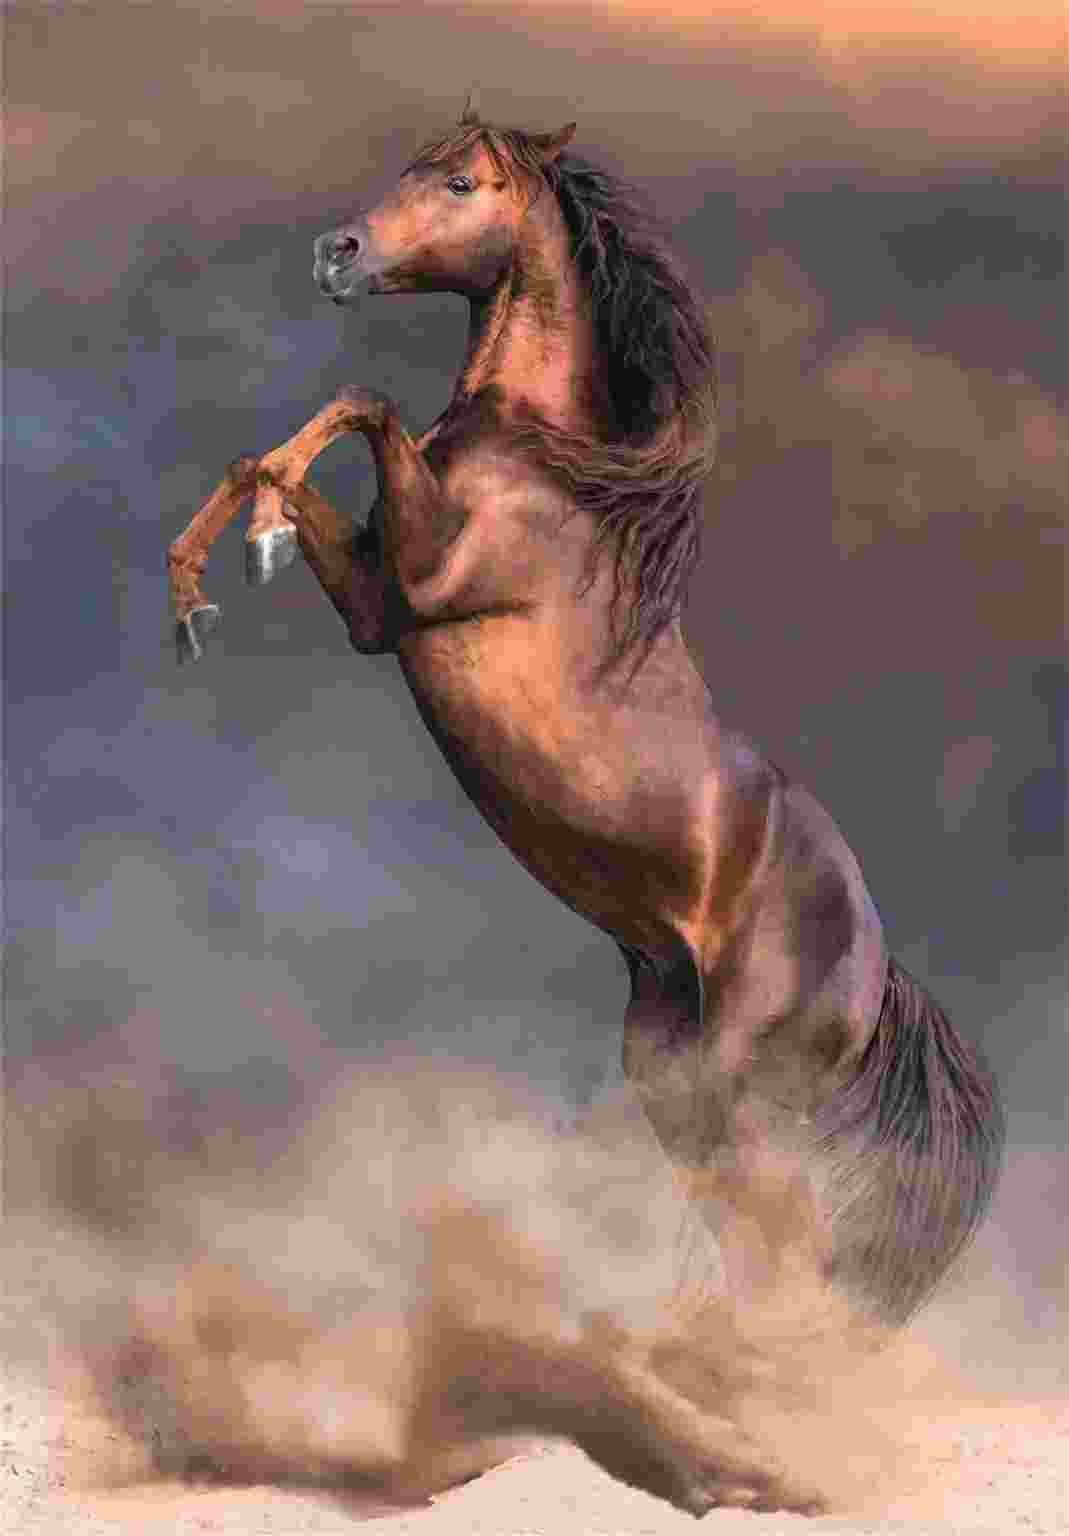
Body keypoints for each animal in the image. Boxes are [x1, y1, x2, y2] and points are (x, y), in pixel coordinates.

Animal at [166, 105, 1004, 1514]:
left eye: (458, 181)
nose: (338, 254)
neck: (542, 465)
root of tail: (879, 965)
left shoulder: (421, 581)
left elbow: (361, 400)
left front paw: (245, 551)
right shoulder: (378, 604)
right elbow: (279, 451)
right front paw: (207, 580)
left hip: (735, 1081)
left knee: (781, 1253)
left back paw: (722, 1426)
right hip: (675, 1080)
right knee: (759, 1255)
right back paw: (711, 1431)